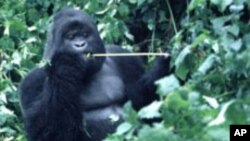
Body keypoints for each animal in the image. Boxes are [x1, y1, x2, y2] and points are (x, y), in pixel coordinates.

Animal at [19, 8, 170, 141]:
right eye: (70, 37)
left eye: (85, 34)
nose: (80, 44)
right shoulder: (31, 81)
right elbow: (44, 132)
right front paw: (65, 67)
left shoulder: (124, 57)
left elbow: (146, 103)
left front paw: (164, 64)